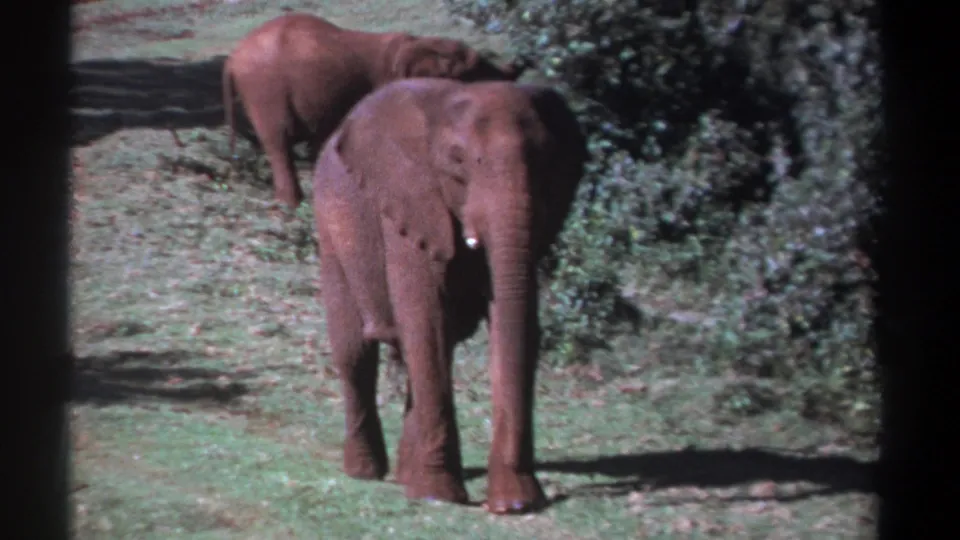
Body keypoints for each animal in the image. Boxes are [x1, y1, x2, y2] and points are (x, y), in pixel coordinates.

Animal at [221, 13, 529, 209]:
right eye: (471, 73)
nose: (522, 62)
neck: (418, 43)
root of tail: (232, 60)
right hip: (265, 89)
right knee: (278, 141)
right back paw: (293, 205)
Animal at [311, 77, 589, 514]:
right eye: (457, 162)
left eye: (546, 162)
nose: (509, 505)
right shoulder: (410, 203)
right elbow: (426, 319)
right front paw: (438, 496)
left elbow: (510, 323)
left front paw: (516, 501)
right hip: (330, 226)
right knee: (356, 353)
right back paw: (366, 473)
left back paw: (406, 477)